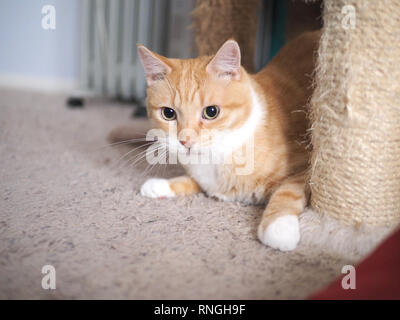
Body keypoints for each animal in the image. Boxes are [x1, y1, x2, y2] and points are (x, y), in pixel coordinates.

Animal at [137, 33, 318, 252]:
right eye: (168, 113)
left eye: (211, 111)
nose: (185, 141)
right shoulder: (205, 180)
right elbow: (192, 181)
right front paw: (161, 185)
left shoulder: (307, 166)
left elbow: (287, 192)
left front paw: (279, 227)